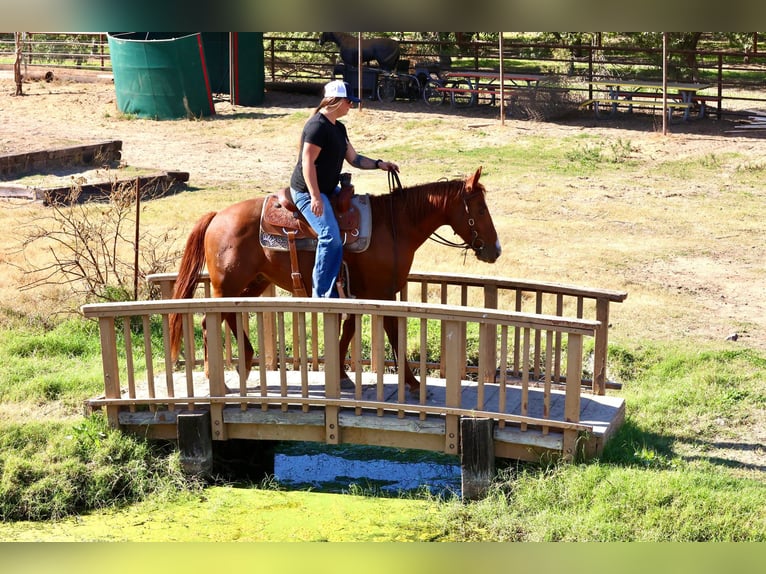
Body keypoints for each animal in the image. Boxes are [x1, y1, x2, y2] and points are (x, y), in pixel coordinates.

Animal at [168, 167, 501, 395]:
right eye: (480, 208)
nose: (495, 249)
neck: (394, 225)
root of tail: (216, 216)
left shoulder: (359, 293)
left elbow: (348, 331)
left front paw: (342, 375)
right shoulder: (382, 293)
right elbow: (392, 333)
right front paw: (413, 382)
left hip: (255, 281)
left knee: (222, 317)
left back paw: (239, 365)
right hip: (227, 284)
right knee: (211, 321)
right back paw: (223, 375)